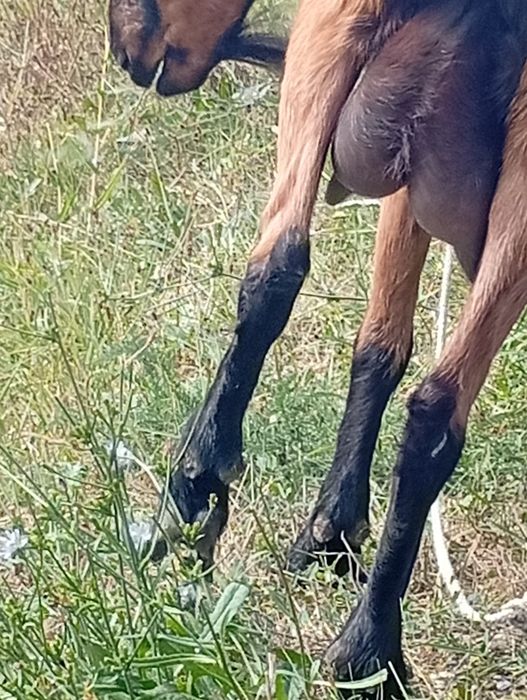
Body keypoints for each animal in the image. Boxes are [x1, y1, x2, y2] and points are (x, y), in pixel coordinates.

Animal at [110, 0, 527, 697]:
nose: (125, 53)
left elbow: (379, 344)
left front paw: (333, 529)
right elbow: (379, 347)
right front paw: (333, 530)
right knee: (286, 275)